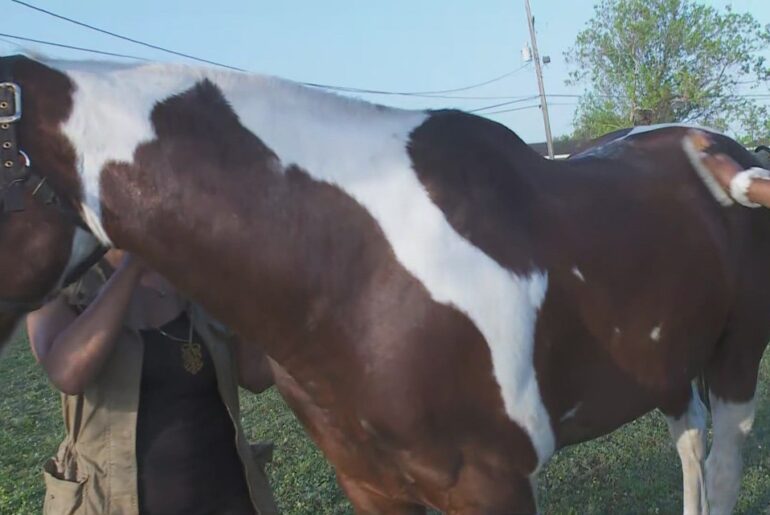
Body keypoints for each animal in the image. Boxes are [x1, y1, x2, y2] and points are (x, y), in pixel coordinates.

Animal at [1, 53, 769, 514]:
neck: (355, 265)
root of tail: (722, 149)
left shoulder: (492, 483)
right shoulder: (372, 486)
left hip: (735, 358)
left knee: (723, 460)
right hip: (669, 360)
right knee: (690, 443)